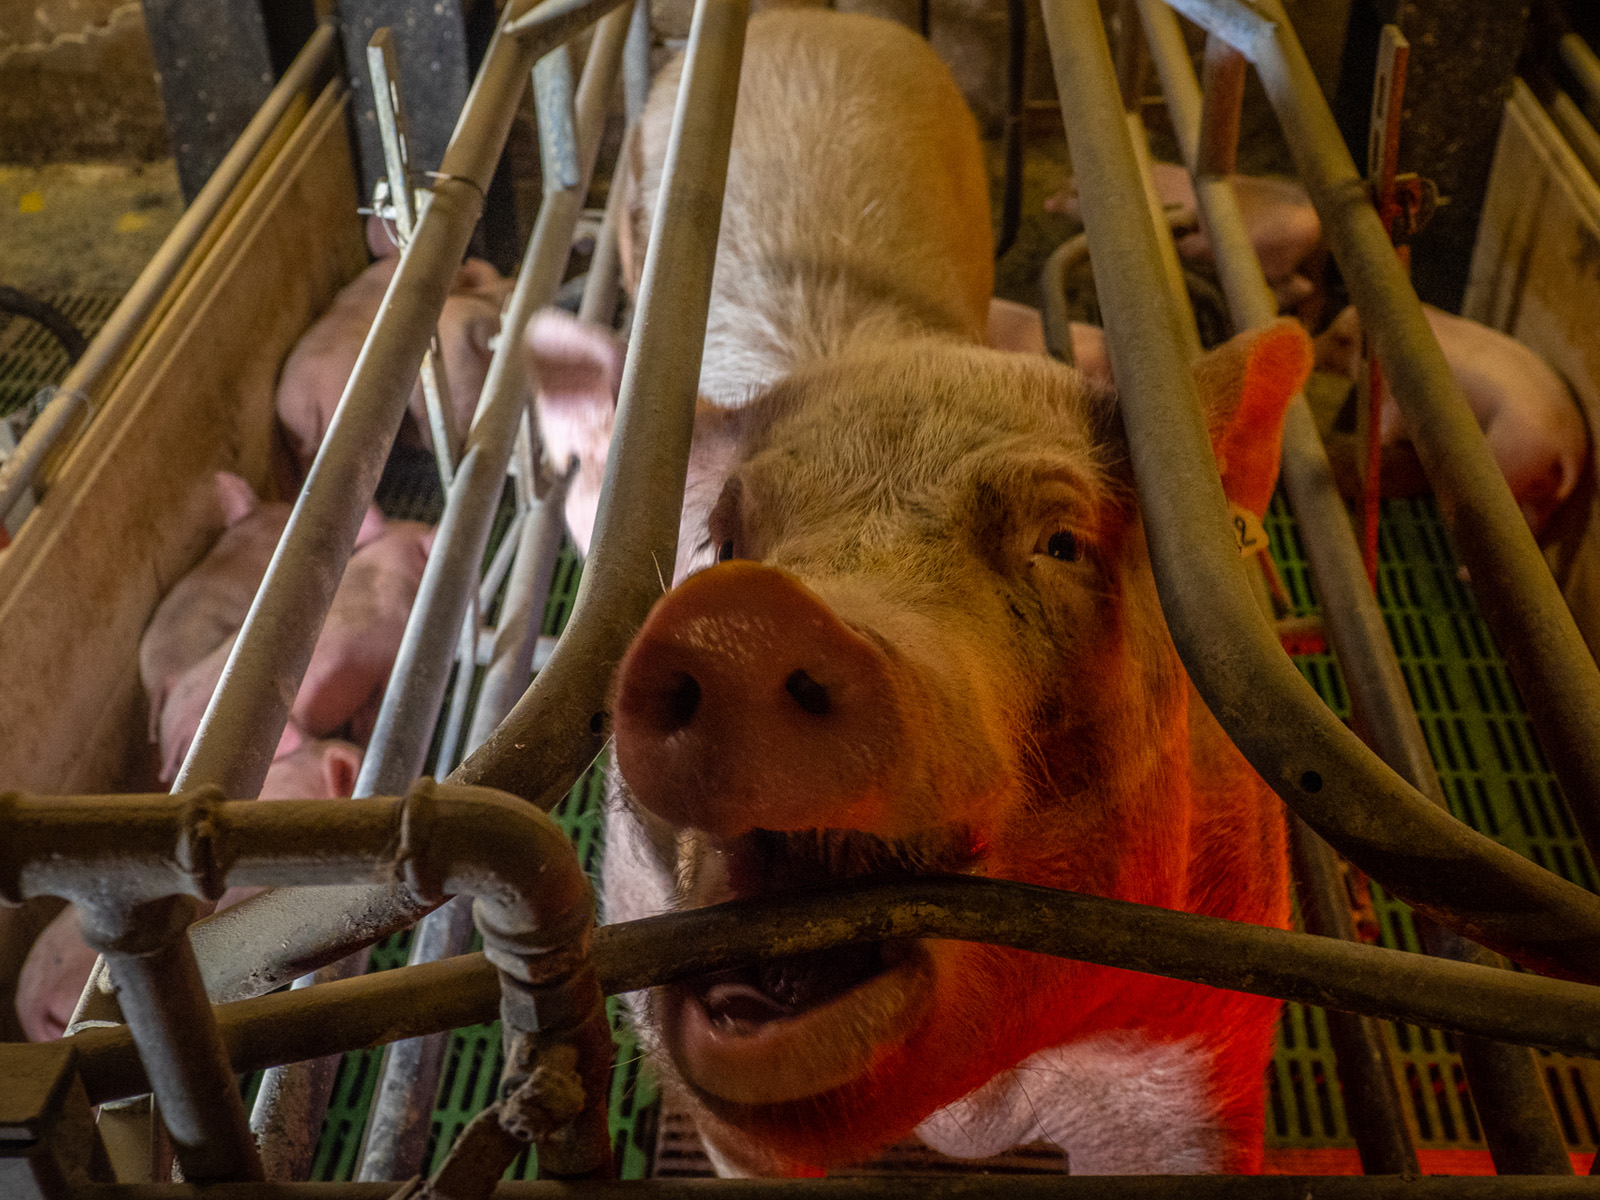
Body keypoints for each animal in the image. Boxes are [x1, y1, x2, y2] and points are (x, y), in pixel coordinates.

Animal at [1043, 163, 1318, 315]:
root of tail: (1312, 220)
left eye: (1072, 192)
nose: (1048, 202)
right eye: (1065, 185)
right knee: (1306, 288)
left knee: (1299, 287)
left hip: (1265, 255)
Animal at [1312, 302, 1587, 537]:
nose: (1313, 346)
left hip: (1511, 458)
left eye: (1342, 340)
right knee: (1535, 522)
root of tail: (1567, 447)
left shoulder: (1397, 404)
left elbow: (1388, 428)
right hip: (1545, 497)